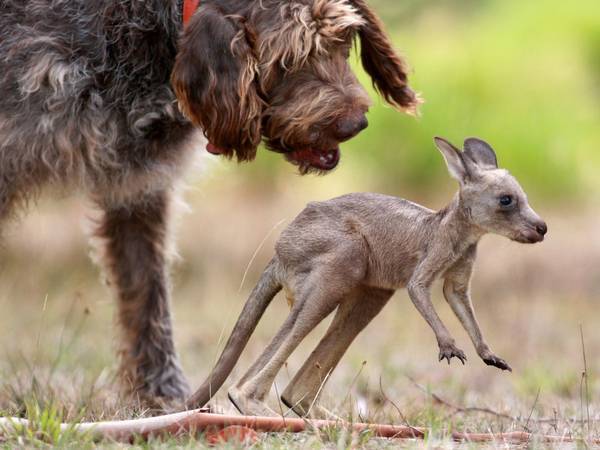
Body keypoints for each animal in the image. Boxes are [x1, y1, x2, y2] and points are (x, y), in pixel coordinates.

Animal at [0, 0, 420, 402]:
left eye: (342, 40)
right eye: (286, 60)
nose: (355, 125)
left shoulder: (137, 190)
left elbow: (146, 294)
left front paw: (160, 397)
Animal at [189, 137, 548, 418]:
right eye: (506, 201)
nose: (542, 228)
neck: (458, 230)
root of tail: (278, 255)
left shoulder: (460, 272)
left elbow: (458, 300)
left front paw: (488, 354)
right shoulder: (431, 257)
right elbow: (419, 290)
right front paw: (449, 347)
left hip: (371, 288)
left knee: (293, 390)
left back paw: (325, 422)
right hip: (343, 256)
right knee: (254, 379)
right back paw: (261, 409)